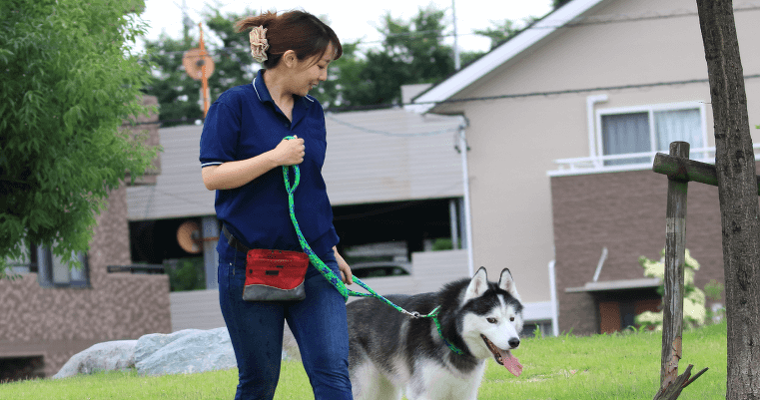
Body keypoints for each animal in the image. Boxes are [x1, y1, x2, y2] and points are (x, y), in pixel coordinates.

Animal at [348, 268, 524, 398]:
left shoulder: (465, 393)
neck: (448, 337)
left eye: (512, 318)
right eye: (491, 320)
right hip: (362, 386)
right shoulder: (422, 393)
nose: (515, 342)